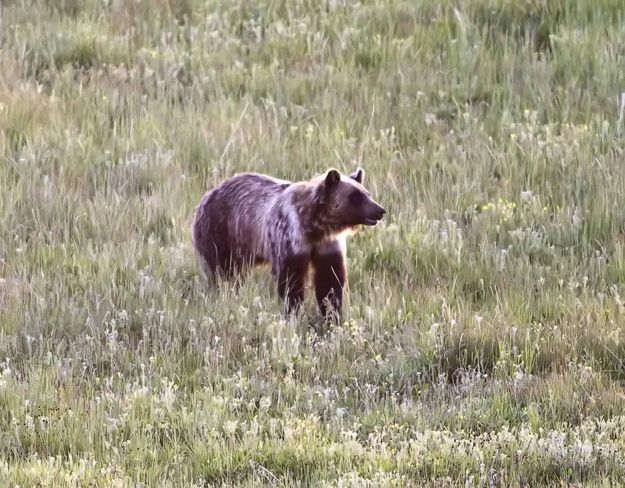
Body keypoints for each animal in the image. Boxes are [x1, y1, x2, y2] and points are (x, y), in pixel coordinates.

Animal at [190, 168, 386, 320]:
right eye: (356, 196)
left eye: (366, 193)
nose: (380, 210)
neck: (315, 226)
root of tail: (208, 194)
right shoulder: (289, 239)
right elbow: (291, 281)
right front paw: (294, 313)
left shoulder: (328, 245)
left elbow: (330, 280)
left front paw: (332, 315)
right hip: (219, 233)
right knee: (221, 272)